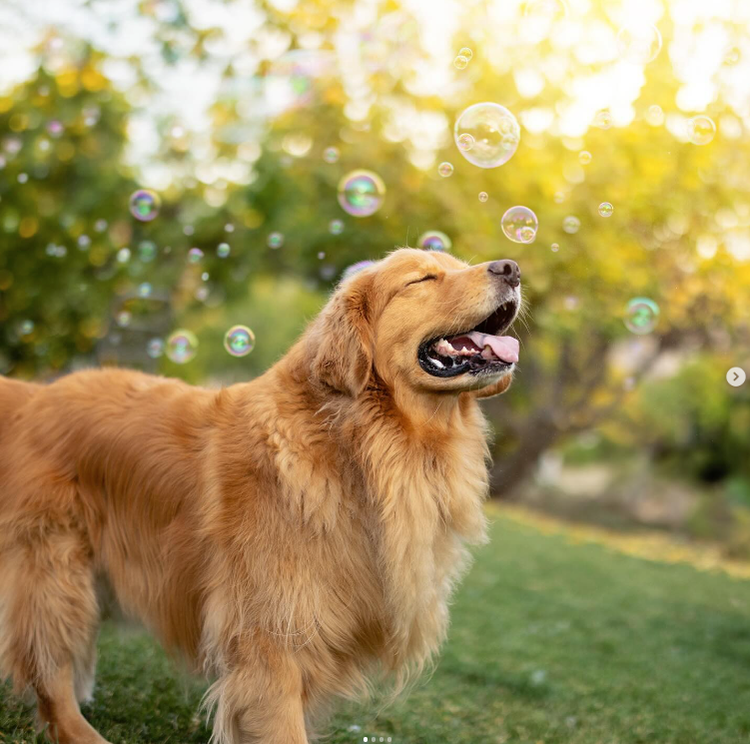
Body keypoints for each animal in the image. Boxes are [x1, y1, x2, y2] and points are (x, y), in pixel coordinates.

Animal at [0, 247, 524, 740]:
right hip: (53, 568)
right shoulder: (271, 639)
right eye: (422, 278)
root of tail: (33, 396)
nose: (512, 268)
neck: (362, 443)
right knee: (47, 668)